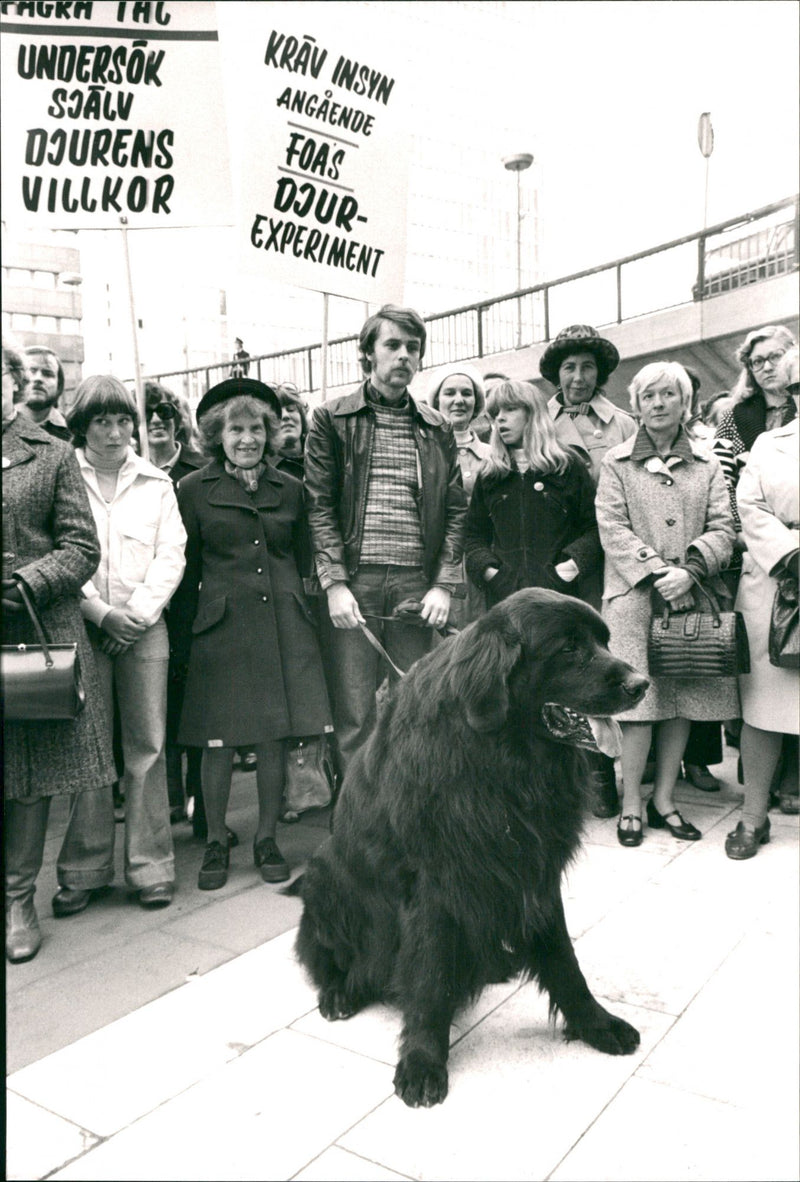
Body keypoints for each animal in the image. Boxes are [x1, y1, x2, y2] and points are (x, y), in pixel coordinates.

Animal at [293, 591, 647, 1106]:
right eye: (568, 648)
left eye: (604, 640)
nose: (642, 683)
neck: (502, 760)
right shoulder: (434, 886)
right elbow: (429, 977)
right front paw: (423, 1060)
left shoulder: (534, 871)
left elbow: (564, 961)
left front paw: (596, 1024)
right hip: (323, 873)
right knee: (326, 955)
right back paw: (341, 991)